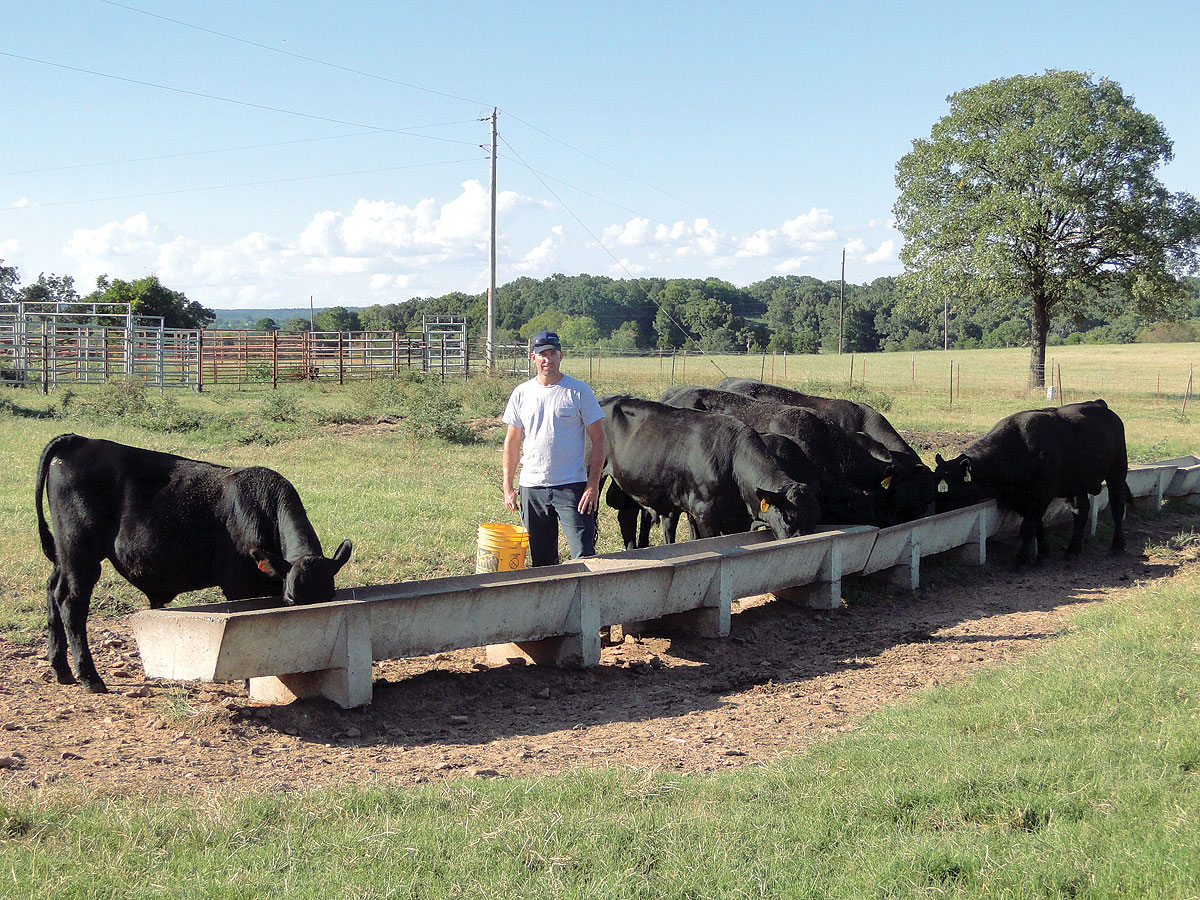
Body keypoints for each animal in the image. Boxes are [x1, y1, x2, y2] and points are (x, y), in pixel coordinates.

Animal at [32, 434, 350, 696]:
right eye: (291, 599)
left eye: (330, 596)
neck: (261, 510)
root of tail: (78, 440)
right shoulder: (239, 586)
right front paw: (251, 684)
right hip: (80, 553)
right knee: (71, 602)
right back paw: (89, 677)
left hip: (65, 556)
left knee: (52, 591)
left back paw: (61, 670)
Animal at [931, 398, 1128, 566]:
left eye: (951, 491)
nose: (938, 515)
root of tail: (1100, 404)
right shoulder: (1023, 500)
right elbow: (1037, 525)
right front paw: (1043, 554)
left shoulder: (1041, 496)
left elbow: (1027, 527)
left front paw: (1022, 560)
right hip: (1078, 484)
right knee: (1081, 511)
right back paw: (1072, 550)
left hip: (1117, 474)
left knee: (1117, 507)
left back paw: (1117, 546)